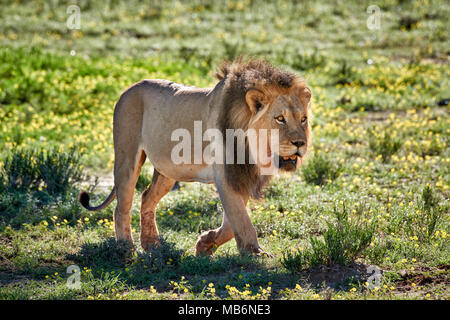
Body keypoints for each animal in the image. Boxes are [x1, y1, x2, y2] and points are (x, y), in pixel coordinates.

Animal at [79, 58, 312, 256]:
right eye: (280, 119)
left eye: (303, 119)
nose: (300, 143)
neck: (252, 148)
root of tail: (128, 89)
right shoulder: (226, 174)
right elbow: (241, 219)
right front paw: (254, 252)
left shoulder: (240, 176)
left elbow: (232, 223)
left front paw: (205, 244)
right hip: (127, 159)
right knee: (122, 206)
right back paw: (126, 248)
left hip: (167, 171)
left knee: (146, 198)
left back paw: (152, 244)